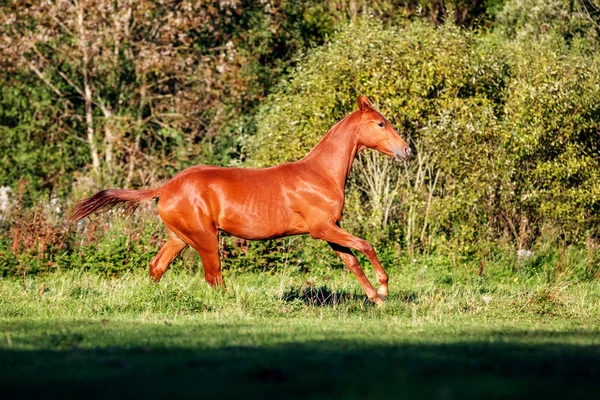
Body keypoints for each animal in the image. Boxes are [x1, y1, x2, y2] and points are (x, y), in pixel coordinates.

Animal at [70, 96, 410, 304]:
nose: (406, 150)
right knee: (213, 277)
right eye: (381, 123)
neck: (320, 174)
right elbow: (365, 246)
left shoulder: (330, 230)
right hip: (206, 238)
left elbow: (352, 261)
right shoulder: (321, 229)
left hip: (178, 238)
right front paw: (384, 288)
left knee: (157, 267)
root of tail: (166, 188)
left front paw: (376, 299)